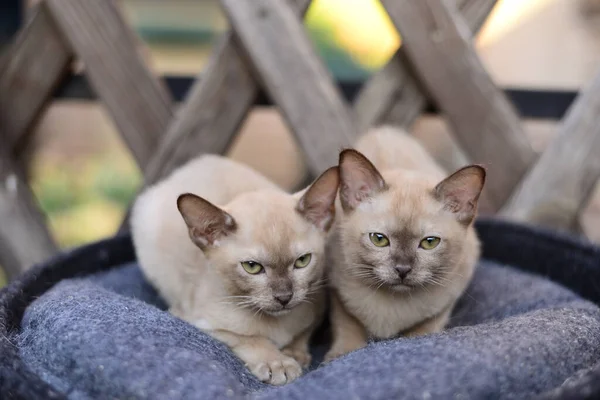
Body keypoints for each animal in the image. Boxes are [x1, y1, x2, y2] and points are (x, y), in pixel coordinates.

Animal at [131, 155, 338, 386]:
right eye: (252, 267)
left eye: (302, 261)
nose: (284, 297)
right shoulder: (200, 323)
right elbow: (251, 339)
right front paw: (279, 364)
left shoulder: (317, 307)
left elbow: (302, 334)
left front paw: (294, 354)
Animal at [326, 126, 486, 360]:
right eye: (379, 239)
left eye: (429, 243)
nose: (402, 270)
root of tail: (385, 129)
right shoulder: (338, 294)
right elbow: (348, 327)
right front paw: (340, 356)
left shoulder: (447, 301)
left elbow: (422, 332)